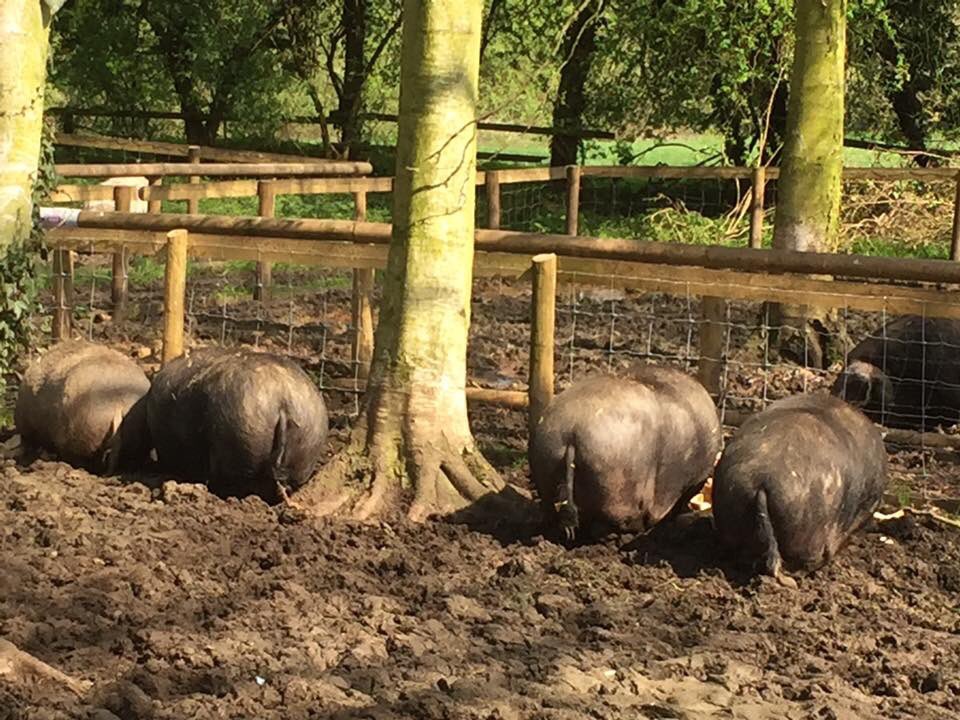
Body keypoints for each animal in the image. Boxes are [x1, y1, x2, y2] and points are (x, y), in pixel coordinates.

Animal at [529, 363, 722, 542]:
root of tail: (572, 429)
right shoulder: (692, 481)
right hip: (615, 481)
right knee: (609, 521)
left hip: (545, 458)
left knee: (550, 509)